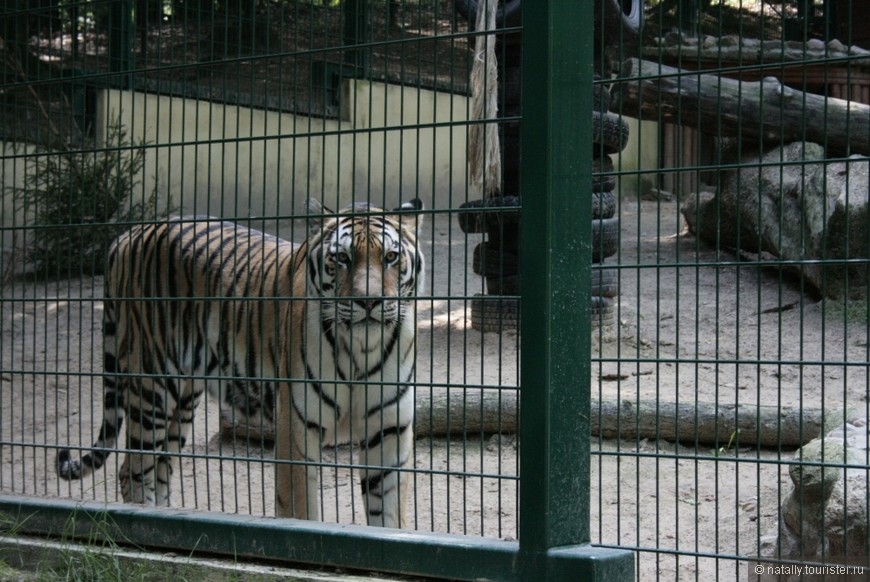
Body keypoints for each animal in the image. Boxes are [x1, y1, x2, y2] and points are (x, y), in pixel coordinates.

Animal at [55, 198, 426, 532]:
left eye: (391, 257)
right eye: (342, 258)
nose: (368, 301)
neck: (363, 349)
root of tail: (128, 235)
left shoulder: (388, 433)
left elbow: (390, 519)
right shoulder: (297, 431)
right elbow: (302, 514)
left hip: (183, 402)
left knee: (159, 470)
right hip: (151, 387)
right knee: (133, 470)